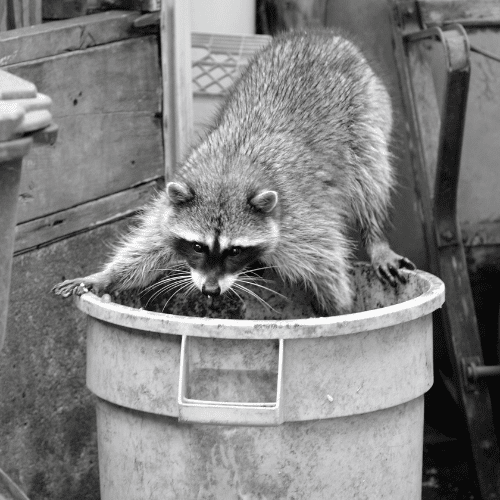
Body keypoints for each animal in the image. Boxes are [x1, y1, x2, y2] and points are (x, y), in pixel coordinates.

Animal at [53, 29, 414, 314]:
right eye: (198, 247)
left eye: (235, 250)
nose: (210, 291)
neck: (227, 173)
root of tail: (324, 36)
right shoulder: (173, 204)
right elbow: (145, 250)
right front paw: (105, 276)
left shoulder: (301, 223)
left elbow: (328, 267)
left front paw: (338, 311)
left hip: (369, 118)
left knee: (371, 177)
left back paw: (375, 236)